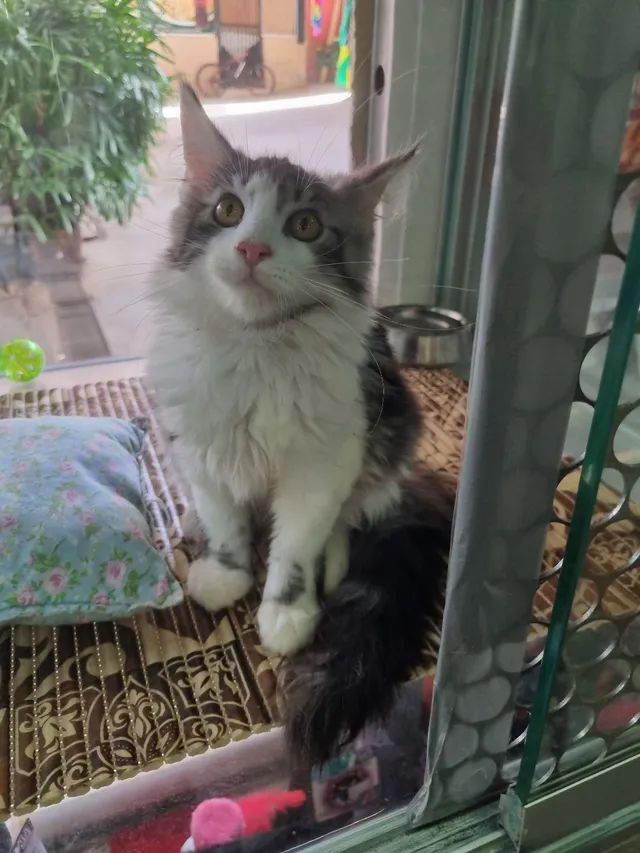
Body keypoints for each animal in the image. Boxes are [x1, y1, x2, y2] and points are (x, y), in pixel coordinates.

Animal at [148, 83, 452, 756]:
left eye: (305, 226)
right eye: (228, 210)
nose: (252, 248)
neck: (256, 347)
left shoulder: (322, 459)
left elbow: (295, 545)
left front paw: (286, 612)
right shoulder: (199, 444)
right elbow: (225, 522)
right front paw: (225, 572)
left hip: (387, 431)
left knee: (350, 515)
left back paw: (332, 566)